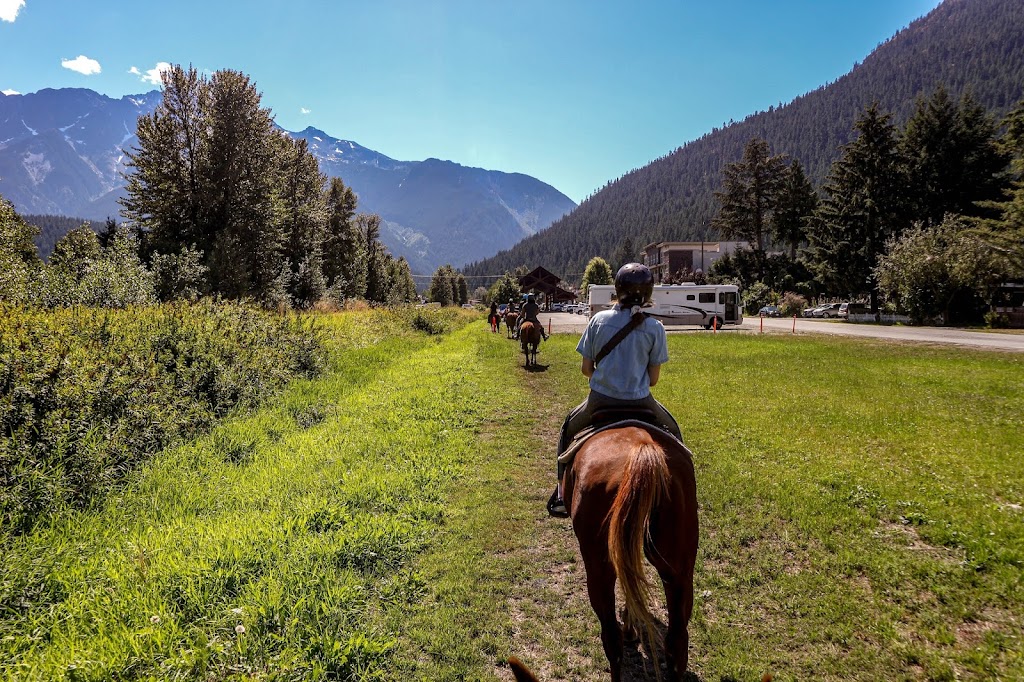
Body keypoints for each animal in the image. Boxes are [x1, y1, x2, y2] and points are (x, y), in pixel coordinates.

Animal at [565, 421, 700, 675]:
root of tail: (643, 448)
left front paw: (629, 630)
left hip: (598, 570)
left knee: (612, 641)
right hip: (679, 572)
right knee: (677, 644)